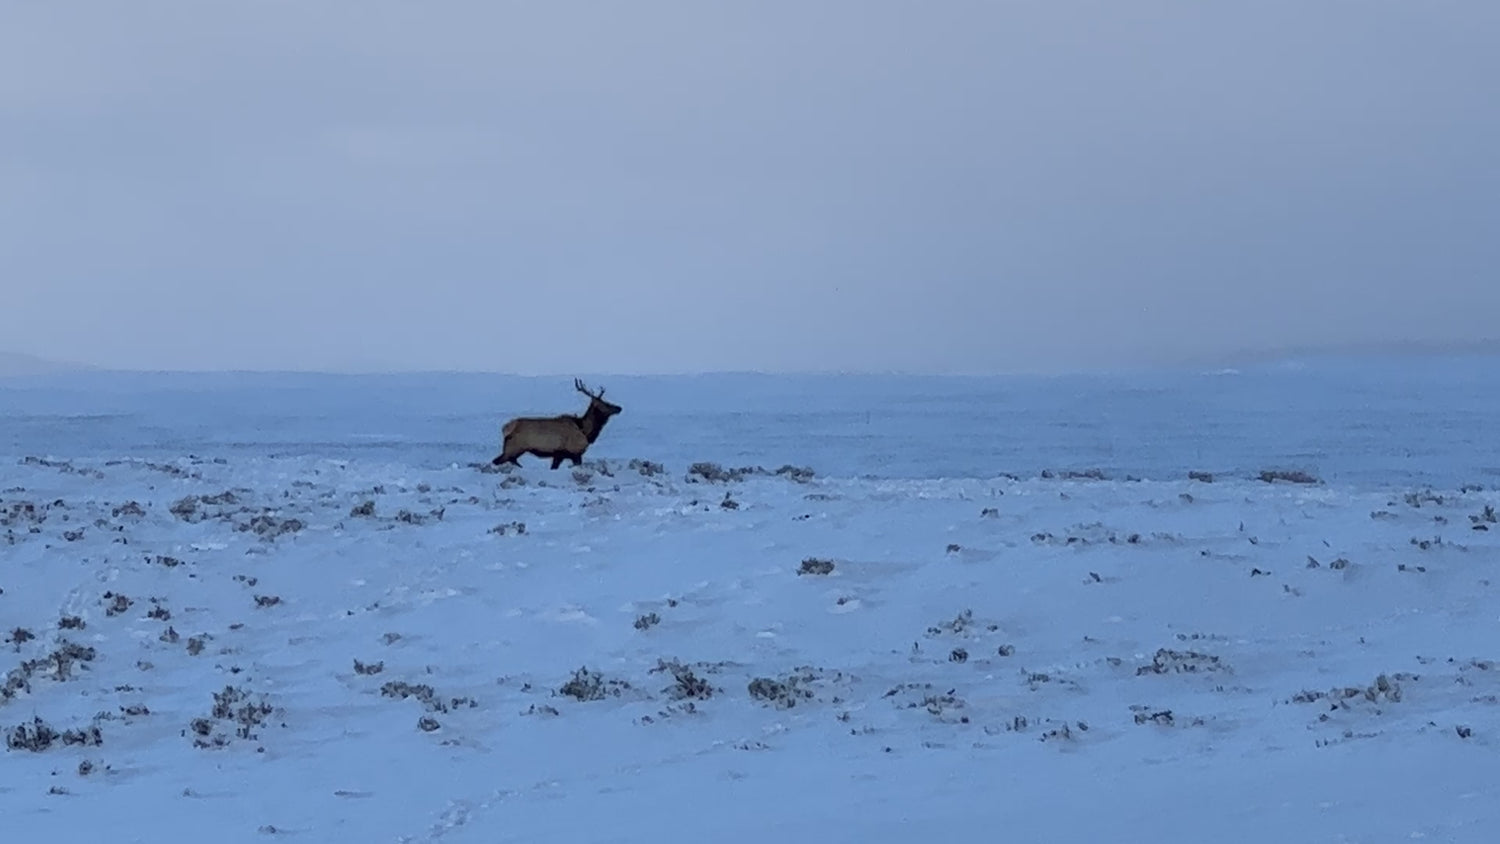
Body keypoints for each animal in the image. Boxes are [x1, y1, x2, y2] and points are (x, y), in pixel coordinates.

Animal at [492, 380, 621, 467]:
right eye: (606, 403)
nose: (619, 408)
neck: (585, 431)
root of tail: (505, 428)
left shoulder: (559, 455)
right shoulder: (574, 453)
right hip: (514, 448)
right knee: (498, 461)